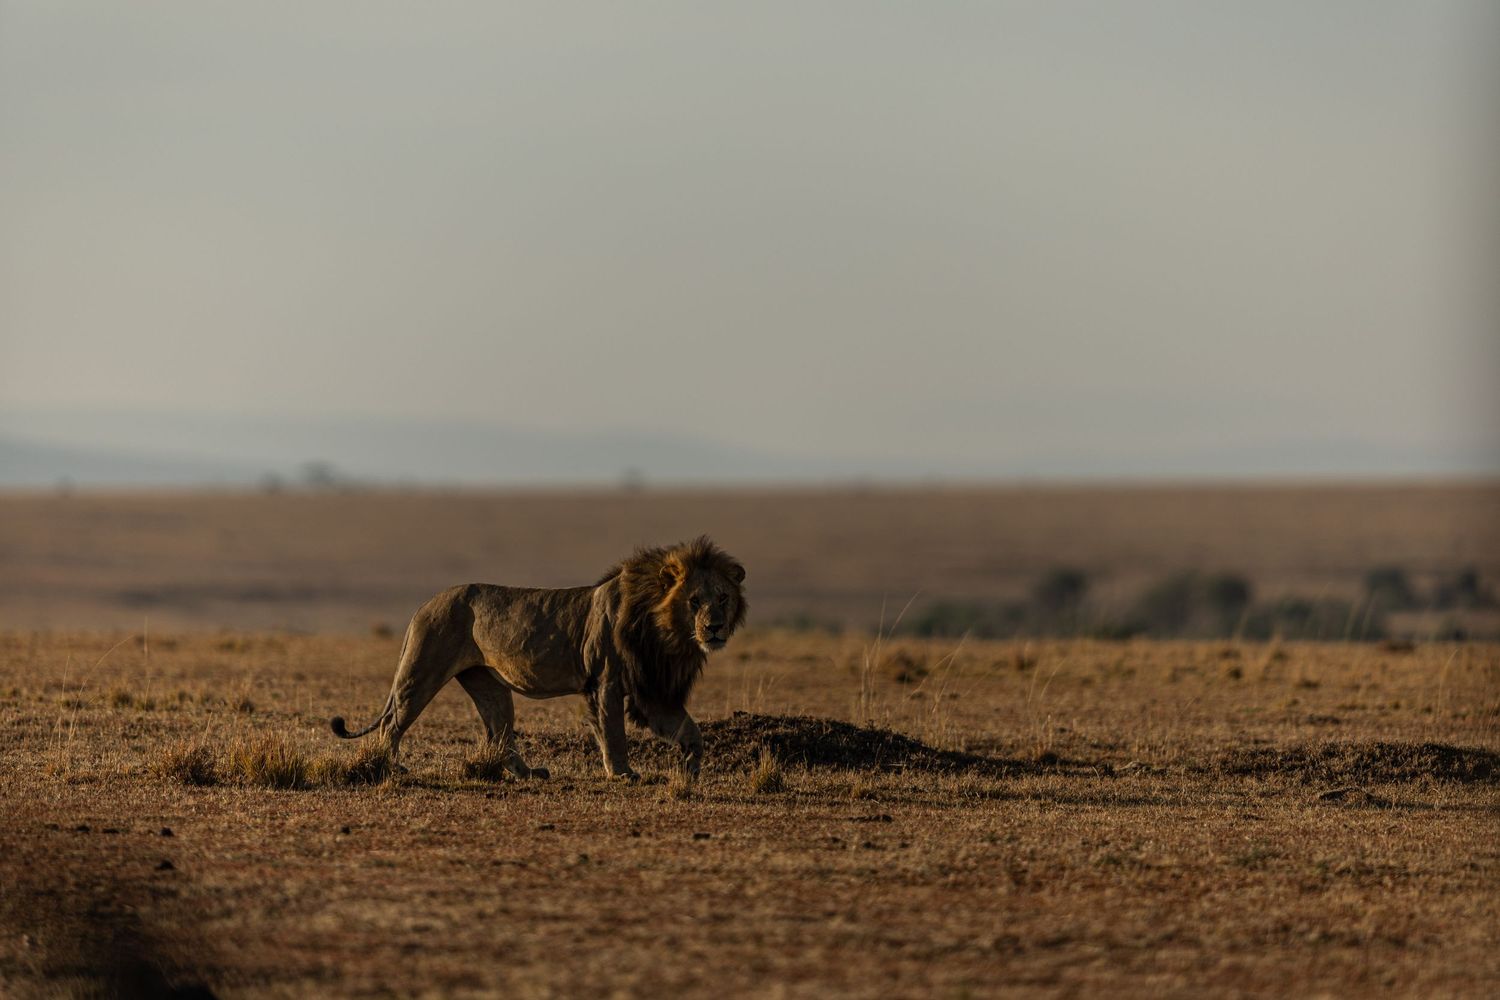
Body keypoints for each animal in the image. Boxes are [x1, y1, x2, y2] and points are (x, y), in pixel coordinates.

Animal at [329, 536, 746, 780]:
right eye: (694, 601)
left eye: (723, 598)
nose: (714, 628)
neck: (665, 634)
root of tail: (424, 604)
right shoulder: (606, 682)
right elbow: (613, 731)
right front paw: (622, 773)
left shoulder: (653, 688)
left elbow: (690, 731)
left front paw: (692, 771)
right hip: (422, 671)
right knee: (392, 722)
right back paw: (391, 767)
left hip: (487, 684)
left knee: (500, 732)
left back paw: (528, 773)